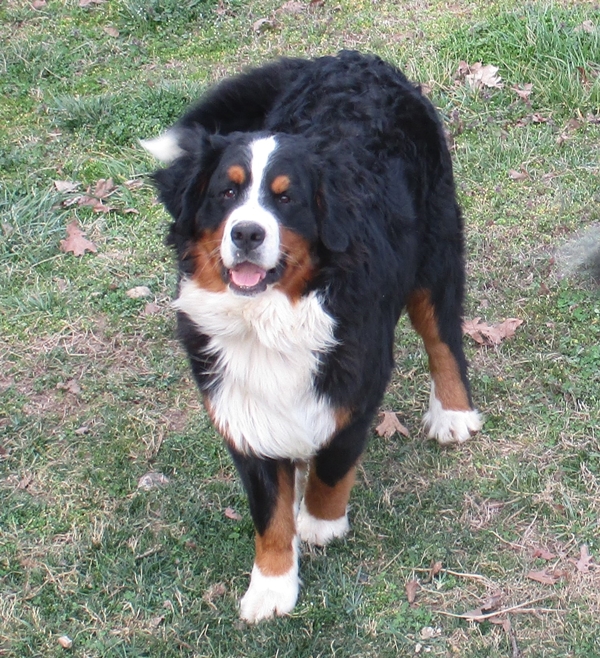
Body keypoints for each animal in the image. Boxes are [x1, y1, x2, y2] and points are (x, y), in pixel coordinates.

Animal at [142, 50, 482, 620]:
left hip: (435, 252)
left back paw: (453, 414)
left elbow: (332, 466)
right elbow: (269, 513)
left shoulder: (356, 382)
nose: (247, 232)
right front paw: (271, 587)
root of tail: (350, 57)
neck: (269, 316)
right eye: (226, 192)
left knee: (443, 339)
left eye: (287, 199)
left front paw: (320, 523)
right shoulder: (242, 410)